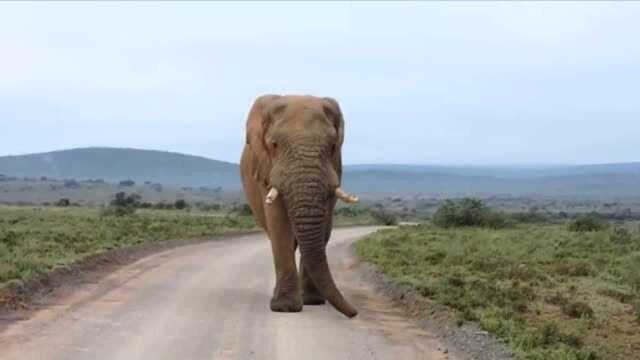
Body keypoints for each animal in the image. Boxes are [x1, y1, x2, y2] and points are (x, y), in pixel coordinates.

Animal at [240, 95, 360, 318]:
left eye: (332, 146)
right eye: (274, 145)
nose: (354, 313)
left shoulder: (334, 168)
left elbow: (323, 226)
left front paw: (311, 301)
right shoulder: (266, 169)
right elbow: (279, 225)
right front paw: (285, 308)